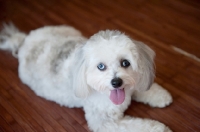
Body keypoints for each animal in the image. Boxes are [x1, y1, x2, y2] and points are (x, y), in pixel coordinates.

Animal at [0, 24, 172, 132]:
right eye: (101, 66)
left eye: (125, 62)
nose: (116, 82)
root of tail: (25, 40)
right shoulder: (105, 122)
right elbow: (138, 126)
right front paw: (161, 128)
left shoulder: (133, 84)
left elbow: (141, 88)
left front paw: (160, 95)